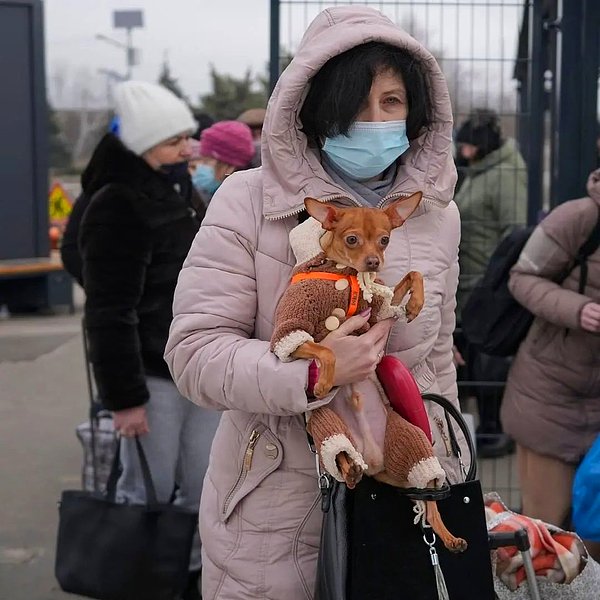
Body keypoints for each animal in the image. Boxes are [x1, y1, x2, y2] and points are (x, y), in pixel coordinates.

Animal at [270, 193, 466, 552]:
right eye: (352, 240)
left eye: (385, 239)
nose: (374, 262)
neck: (348, 274)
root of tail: (374, 462)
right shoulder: (291, 332)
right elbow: (325, 349)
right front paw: (324, 381)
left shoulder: (381, 309)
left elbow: (413, 275)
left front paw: (415, 303)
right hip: (326, 426)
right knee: (340, 453)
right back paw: (350, 470)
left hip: (413, 445)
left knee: (429, 501)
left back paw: (449, 537)